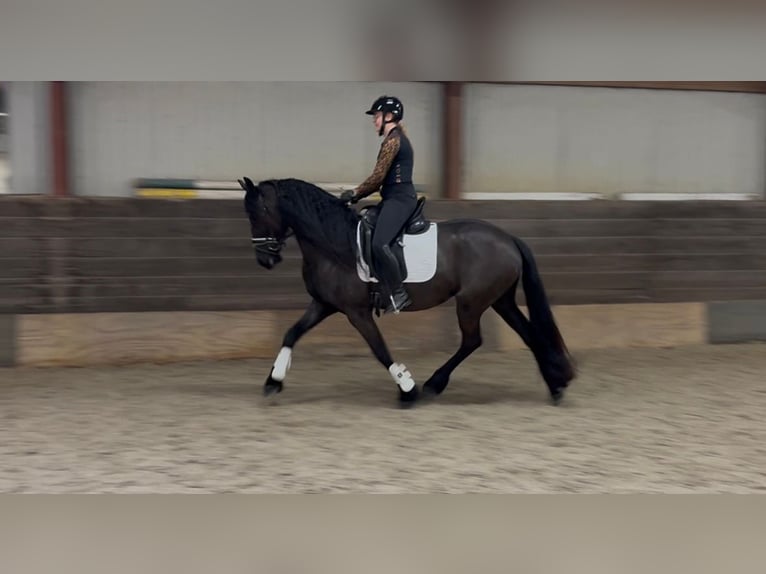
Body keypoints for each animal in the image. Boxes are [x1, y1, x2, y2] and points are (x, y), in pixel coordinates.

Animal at [239, 176, 576, 406]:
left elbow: (380, 350)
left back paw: (434, 384)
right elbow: (292, 333)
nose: (265, 260)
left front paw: (407, 389)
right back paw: (555, 386)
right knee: (527, 334)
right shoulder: (324, 304)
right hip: (499, 300)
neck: (335, 245)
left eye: (257, 213)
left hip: (471, 302)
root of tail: (508, 239)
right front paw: (273, 380)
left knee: (473, 340)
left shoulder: (356, 312)